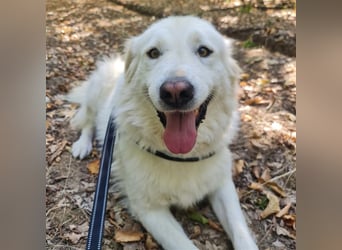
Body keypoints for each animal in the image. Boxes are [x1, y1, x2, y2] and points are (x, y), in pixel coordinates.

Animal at [68, 16, 258, 250]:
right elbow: (184, 245)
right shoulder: (149, 210)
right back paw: (82, 145)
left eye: (204, 51)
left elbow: (241, 232)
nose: (176, 92)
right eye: (153, 53)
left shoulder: (222, 185)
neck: (181, 156)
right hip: (95, 94)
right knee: (87, 122)